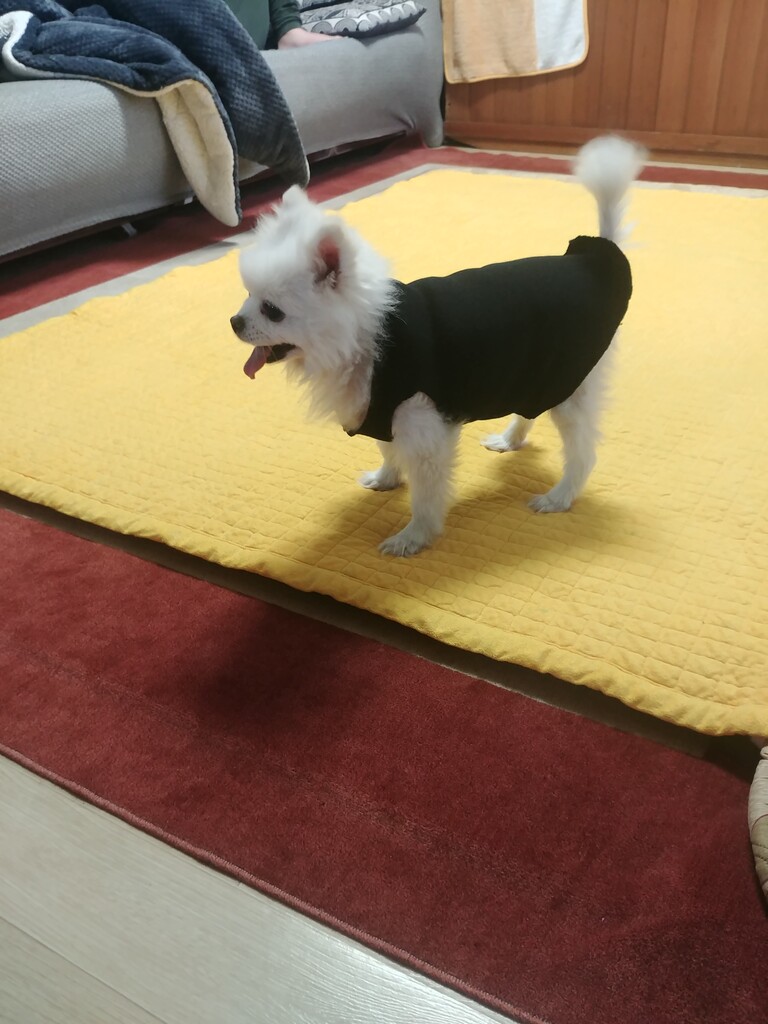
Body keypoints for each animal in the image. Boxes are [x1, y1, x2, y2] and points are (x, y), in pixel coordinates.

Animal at [230, 135, 645, 556]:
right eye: (247, 296)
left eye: (272, 311)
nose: (234, 322)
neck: (371, 339)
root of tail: (594, 258)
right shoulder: (380, 411)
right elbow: (387, 449)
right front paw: (386, 478)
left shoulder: (423, 427)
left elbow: (426, 493)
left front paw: (414, 537)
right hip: (534, 370)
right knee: (531, 408)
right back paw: (510, 440)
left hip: (570, 384)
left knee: (582, 451)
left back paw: (559, 497)